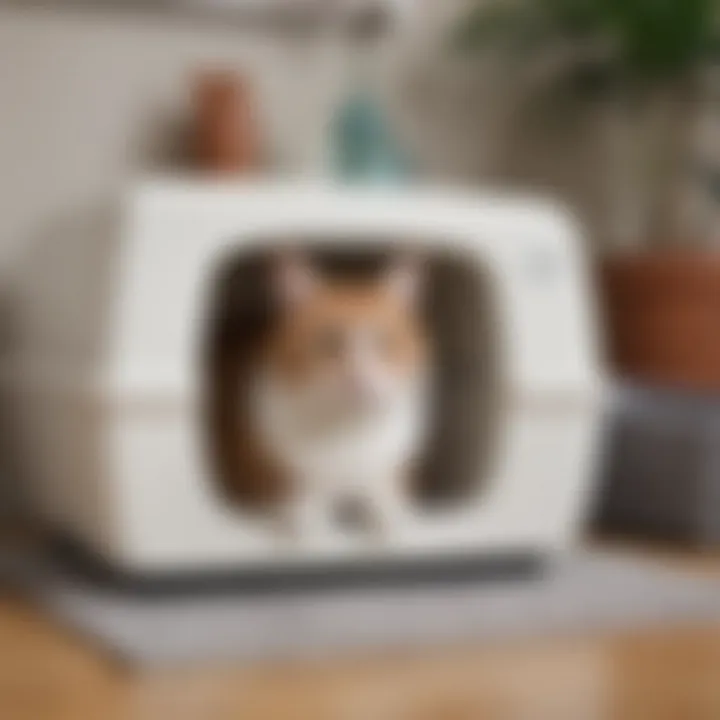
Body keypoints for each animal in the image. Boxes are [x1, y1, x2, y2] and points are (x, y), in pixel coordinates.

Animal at [245, 253, 430, 540]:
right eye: (327, 342)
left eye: (384, 341)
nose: (358, 379)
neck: (348, 433)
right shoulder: (297, 499)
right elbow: (313, 531)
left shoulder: (387, 478)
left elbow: (394, 521)